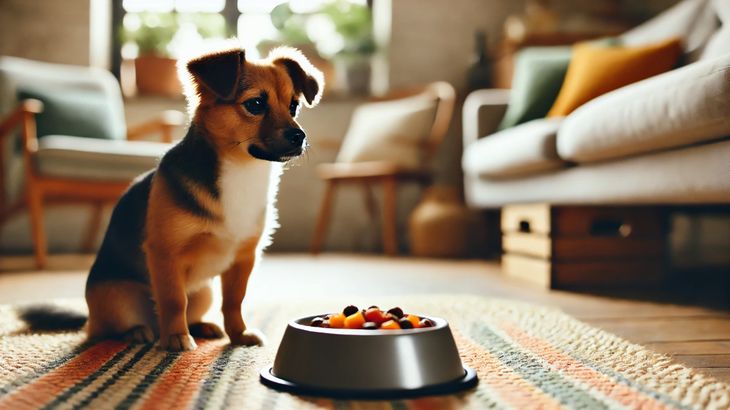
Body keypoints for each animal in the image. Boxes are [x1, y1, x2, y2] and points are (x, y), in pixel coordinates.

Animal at [71, 45, 322, 352]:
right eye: (255, 104)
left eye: (294, 107)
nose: (300, 136)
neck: (242, 171)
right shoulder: (165, 254)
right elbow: (173, 299)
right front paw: (176, 337)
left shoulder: (243, 259)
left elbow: (234, 301)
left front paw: (239, 334)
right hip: (118, 296)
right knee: (108, 329)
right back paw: (138, 332)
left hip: (205, 293)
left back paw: (202, 326)